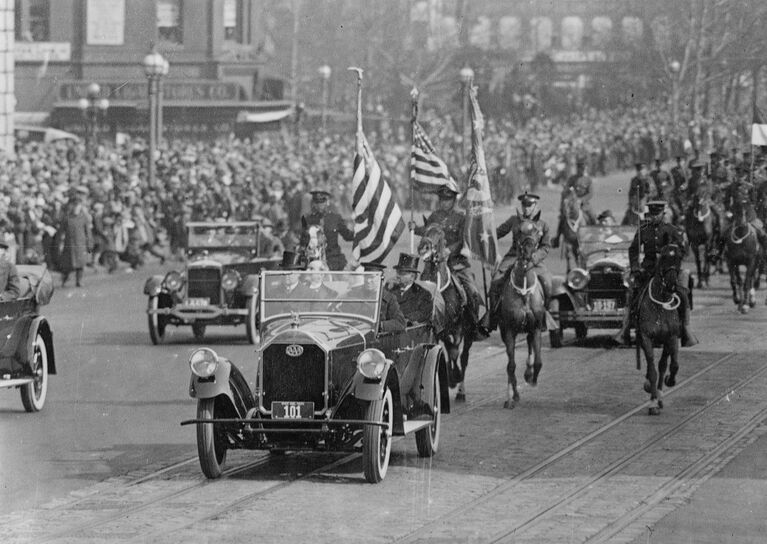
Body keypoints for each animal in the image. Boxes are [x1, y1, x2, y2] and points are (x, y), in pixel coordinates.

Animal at [420, 223, 474, 402]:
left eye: (440, 236)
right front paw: (450, 377)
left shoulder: (457, 329)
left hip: (468, 333)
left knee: (463, 357)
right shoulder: (437, 331)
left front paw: (454, 377)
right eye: (425, 231)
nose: (423, 247)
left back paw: (461, 391)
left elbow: (454, 352)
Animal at [498, 230, 544, 408]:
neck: (524, 292)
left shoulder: (536, 328)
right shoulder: (509, 331)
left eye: (538, 233)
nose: (527, 254)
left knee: (530, 346)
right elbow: (510, 366)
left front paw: (532, 379)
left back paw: (528, 373)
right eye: (519, 234)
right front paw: (513, 396)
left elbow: (538, 361)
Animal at [636, 245, 684, 416]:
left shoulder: (672, 337)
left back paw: (661, 396)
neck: (660, 306)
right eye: (663, 257)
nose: (671, 285)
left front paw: (671, 380)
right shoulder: (646, 338)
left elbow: (673, 365)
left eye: (679, 257)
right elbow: (652, 371)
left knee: (663, 365)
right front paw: (652, 403)